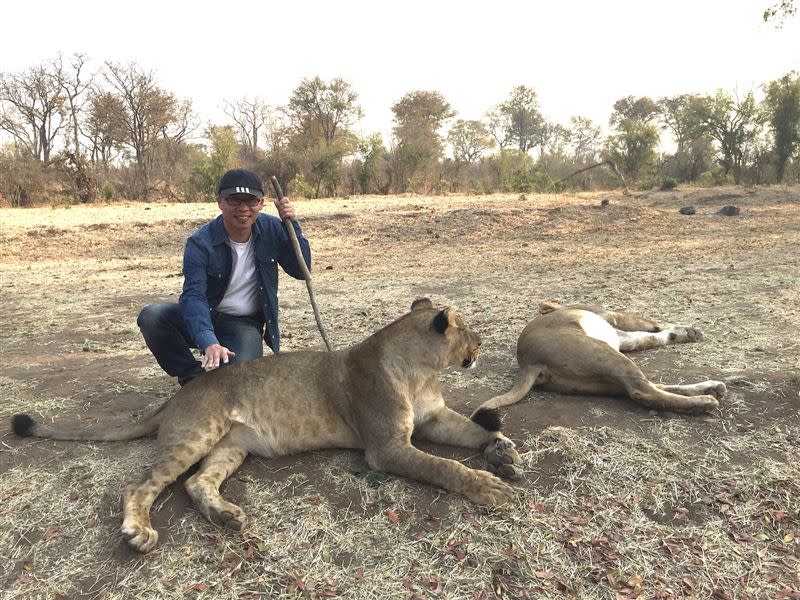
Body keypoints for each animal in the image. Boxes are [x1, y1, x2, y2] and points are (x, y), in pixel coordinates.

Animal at [15, 298, 524, 552]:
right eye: (469, 329)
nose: (483, 341)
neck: (422, 371)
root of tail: (181, 392)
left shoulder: (434, 418)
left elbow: (475, 431)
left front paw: (502, 453)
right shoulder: (387, 447)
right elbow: (445, 467)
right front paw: (488, 487)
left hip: (230, 446)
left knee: (197, 483)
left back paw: (225, 515)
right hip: (196, 433)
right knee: (139, 486)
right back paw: (139, 532)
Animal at [472, 300, 728, 418]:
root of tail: (528, 361)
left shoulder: (622, 338)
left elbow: (652, 337)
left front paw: (684, 333)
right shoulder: (614, 317)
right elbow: (654, 325)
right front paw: (687, 330)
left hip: (603, 376)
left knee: (651, 386)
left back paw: (711, 387)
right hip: (606, 354)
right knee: (643, 392)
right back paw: (704, 402)